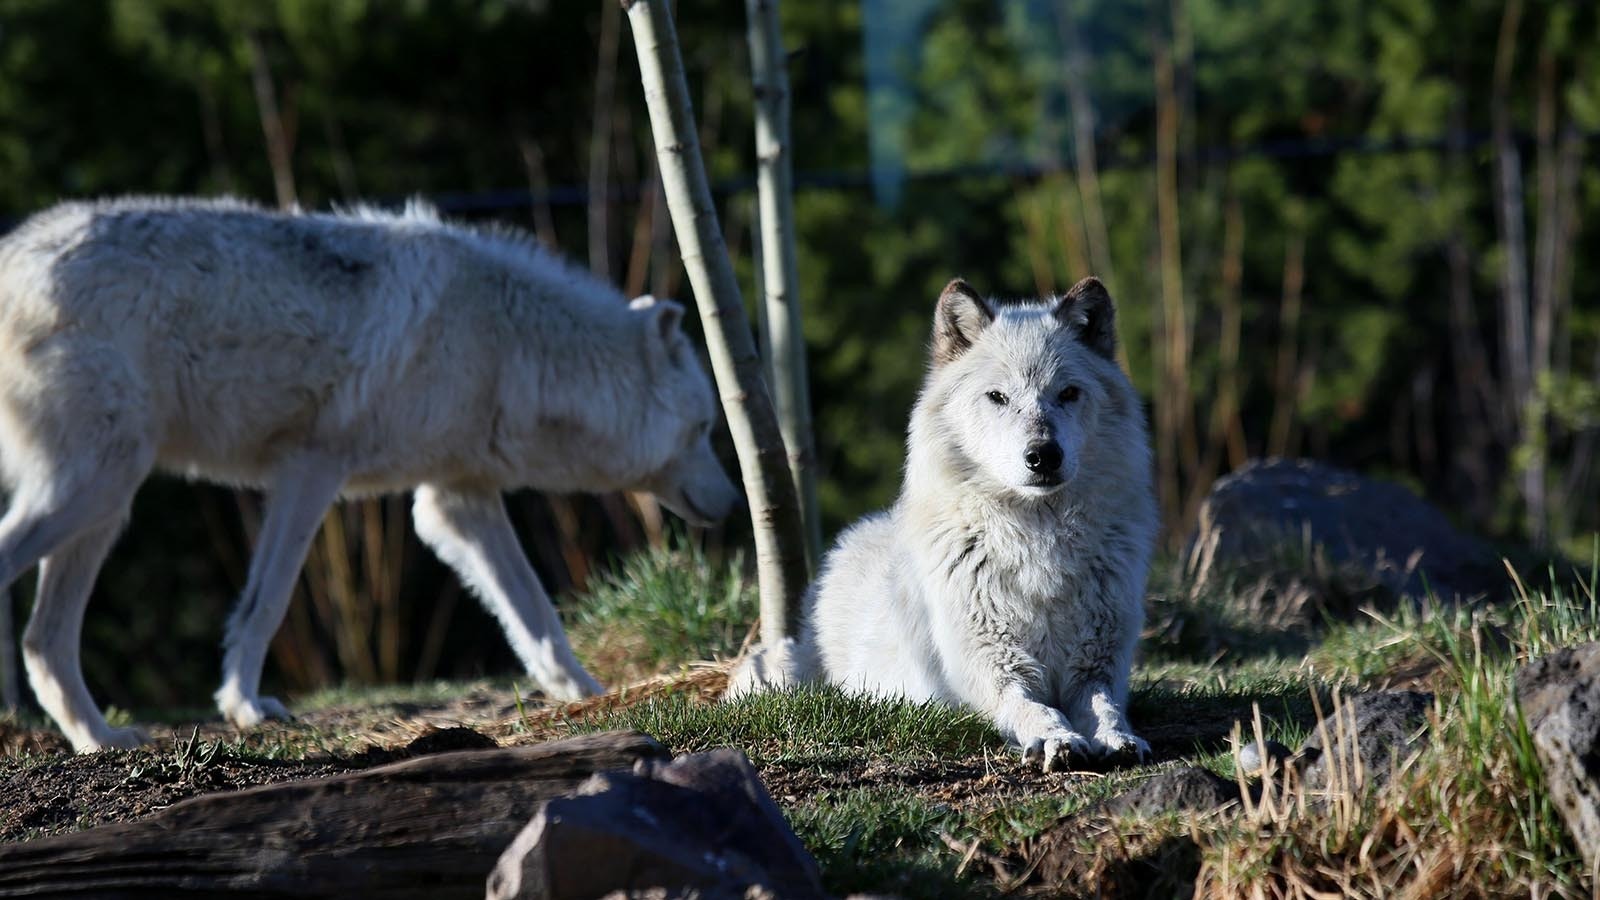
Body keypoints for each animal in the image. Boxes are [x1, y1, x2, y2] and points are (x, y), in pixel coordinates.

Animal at [0, 196, 736, 749]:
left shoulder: (458, 500)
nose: (733, 502)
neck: (507, 342)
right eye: (704, 429)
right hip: (96, 488)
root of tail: (13, 256)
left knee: (41, 641)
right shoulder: (311, 471)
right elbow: (264, 605)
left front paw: (586, 692)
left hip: (105, 507)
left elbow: (536, 615)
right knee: (35, 617)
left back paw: (101, 741)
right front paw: (246, 707)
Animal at [732, 277, 1158, 768]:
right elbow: (1031, 706)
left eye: (1068, 393)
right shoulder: (993, 664)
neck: (1039, 543)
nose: (1043, 455)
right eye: (998, 397)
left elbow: (1104, 705)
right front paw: (1057, 737)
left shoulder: (1098, 664)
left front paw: (1117, 736)